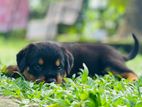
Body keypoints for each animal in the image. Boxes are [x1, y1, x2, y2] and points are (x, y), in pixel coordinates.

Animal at [6, 33, 139, 83]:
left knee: (131, 72)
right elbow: (18, 68)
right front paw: (9, 69)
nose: (51, 81)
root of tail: (119, 54)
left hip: (111, 63)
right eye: (37, 66)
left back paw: (131, 81)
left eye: (59, 67)